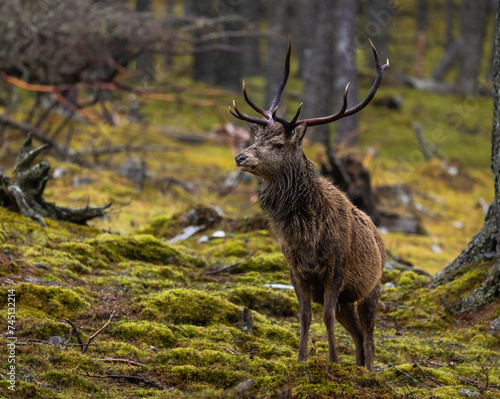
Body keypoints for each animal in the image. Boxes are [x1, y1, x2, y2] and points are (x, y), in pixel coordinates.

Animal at [230, 39, 390, 370]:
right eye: (257, 138)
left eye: (278, 144)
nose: (240, 157)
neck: (307, 234)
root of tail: (380, 238)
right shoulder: (294, 267)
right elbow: (304, 316)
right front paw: (301, 359)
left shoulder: (336, 266)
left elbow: (324, 315)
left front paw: (332, 361)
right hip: (347, 300)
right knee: (357, 334)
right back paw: (357, 365)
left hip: (372, 286)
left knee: (369, 336)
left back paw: (368, 370)